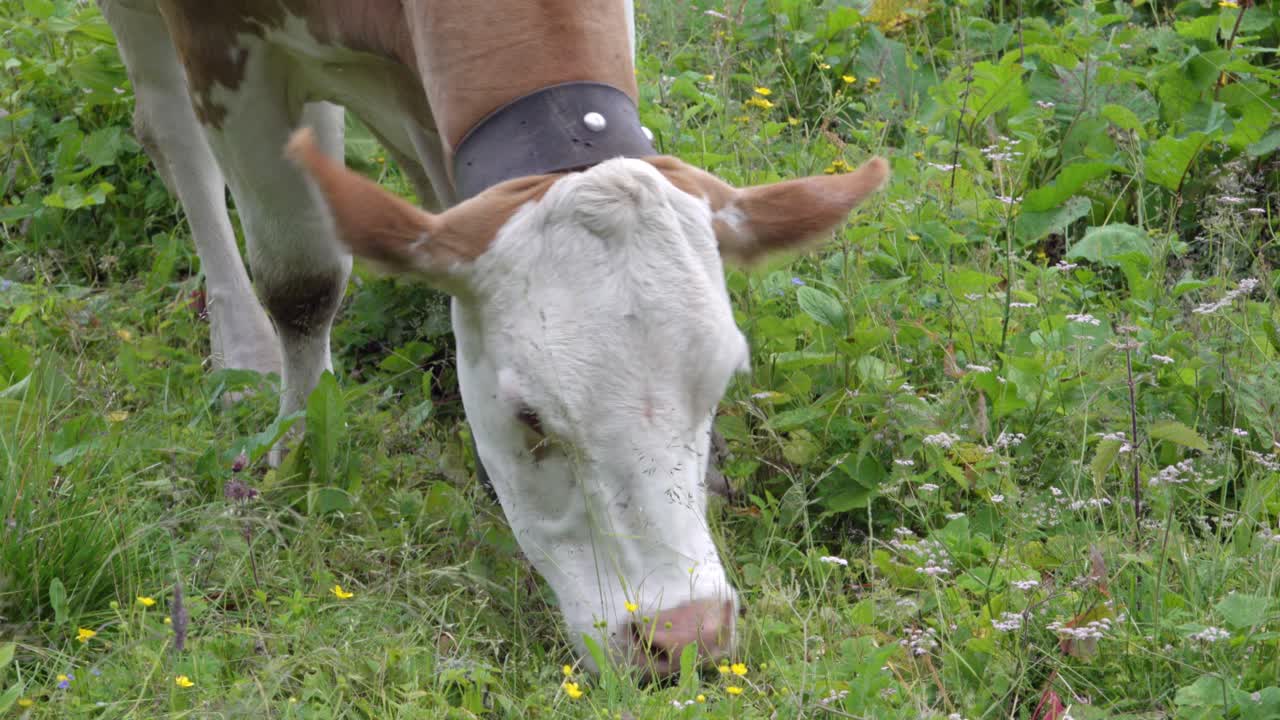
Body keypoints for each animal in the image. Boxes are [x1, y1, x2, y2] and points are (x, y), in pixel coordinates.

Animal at [98, 0, 887, 675]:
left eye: (718, 390)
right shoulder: (226, 46)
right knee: (169, 129)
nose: (685, 636)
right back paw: (244, 354)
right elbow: (304, 280)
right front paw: (292, 457)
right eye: (530, 418)